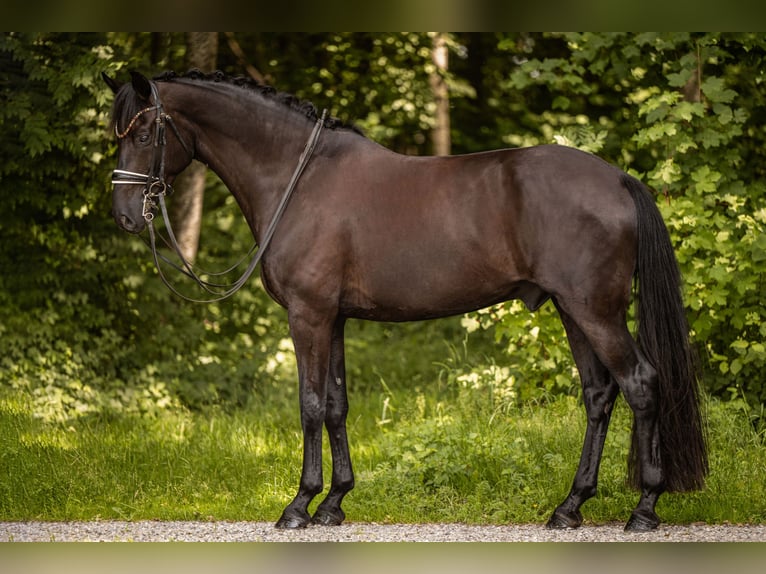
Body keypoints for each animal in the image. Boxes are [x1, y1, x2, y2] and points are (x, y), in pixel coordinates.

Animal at [103, 70, 708, 532]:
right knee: (599, 394)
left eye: (146, 131)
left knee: (640, 385)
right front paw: (334, 503)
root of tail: (619, 179)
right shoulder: (335, 318)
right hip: (572, 310)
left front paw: (299, 505)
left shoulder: (308, 315)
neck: (299, 179)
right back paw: (570, 507)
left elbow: (310, 405)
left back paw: (644, 509)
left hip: (595, 312)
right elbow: (338, 405)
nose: (127, 217)